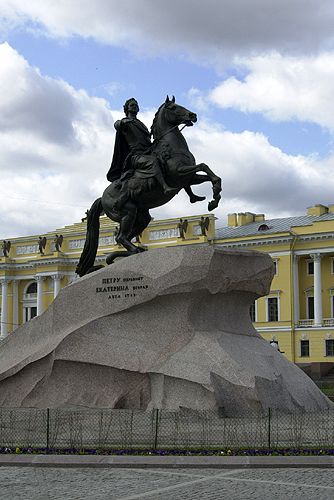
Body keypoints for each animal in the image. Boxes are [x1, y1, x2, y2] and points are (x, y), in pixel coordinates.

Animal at [76, 96, 222, 278]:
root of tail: (102, 198)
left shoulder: (188, 177)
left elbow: (211, 175)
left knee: (126, 237)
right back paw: (133, 251)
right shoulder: (179, 173)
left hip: (141, 218)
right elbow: (203, 165)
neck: (170, 145)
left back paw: (129, 252)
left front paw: (214, 199)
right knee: (120, 237)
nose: (193, 115)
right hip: (128, 212)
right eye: (173, 107)